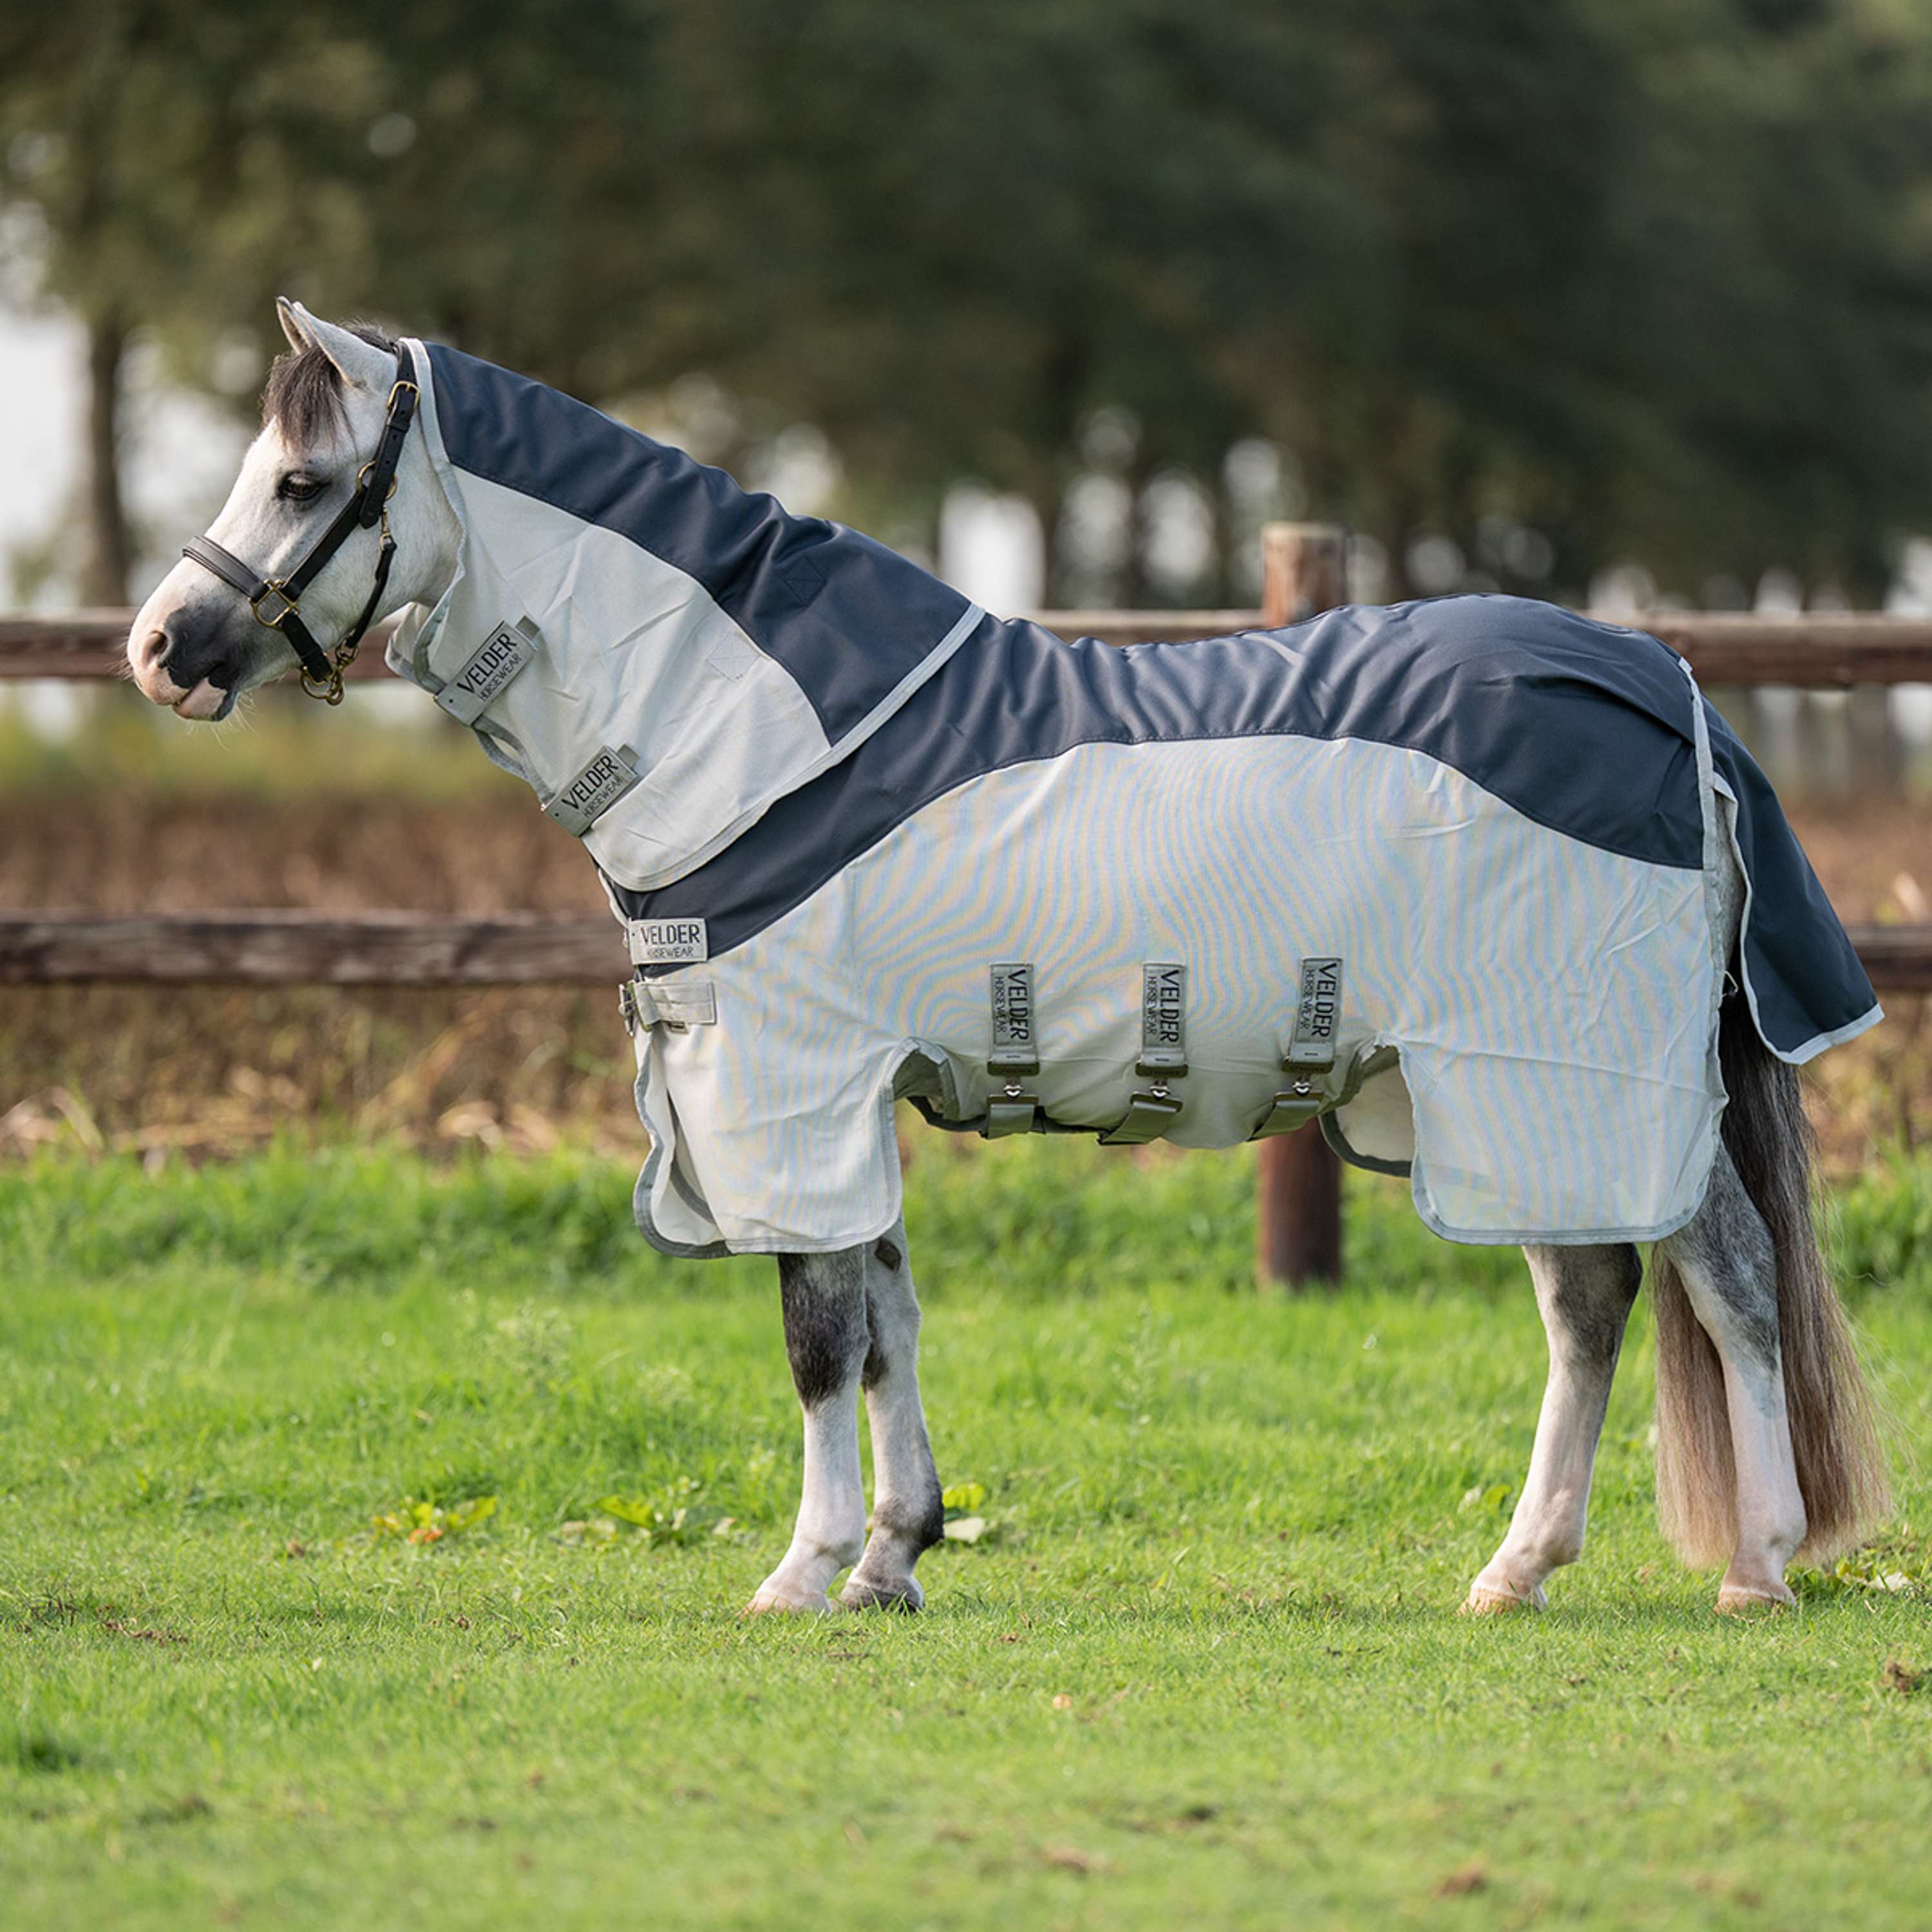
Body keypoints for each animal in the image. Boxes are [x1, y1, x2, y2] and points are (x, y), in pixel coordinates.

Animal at [126, 300, 1890, 1617]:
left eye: (302, 482)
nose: (158, 650)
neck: (767, 731)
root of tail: (1661, 679)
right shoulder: (848, 1091)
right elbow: (886, 1320)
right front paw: (894, 1556)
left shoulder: (790, 1087)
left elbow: (816, 1338)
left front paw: (803, 1570)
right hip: (1497, 1096)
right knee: (1593, 1298)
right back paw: (1517, 1568)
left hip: (1572, 1072)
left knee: (1722, 1279)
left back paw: (1754, 1564)